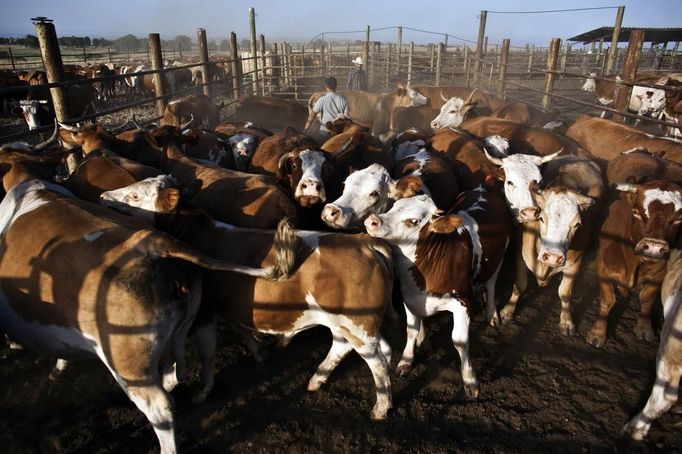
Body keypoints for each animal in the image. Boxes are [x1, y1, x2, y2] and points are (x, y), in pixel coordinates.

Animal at [99, 176, 394, 418]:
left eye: (135, 195)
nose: (103, 196)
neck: (198, 233)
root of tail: (363, 242)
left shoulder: (204, 313)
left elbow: (207, 355)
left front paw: (200, 392)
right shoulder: (231, 305)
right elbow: (242, 330)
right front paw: (260, 354)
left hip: (357, 325)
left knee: (377, 363)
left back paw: (380, 408)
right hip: (349, 323)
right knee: (345, 347)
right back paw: (315, 380)